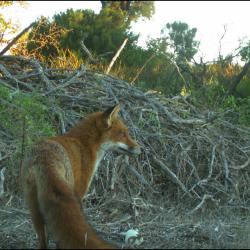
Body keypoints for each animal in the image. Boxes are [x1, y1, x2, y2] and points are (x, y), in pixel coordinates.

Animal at [21, 104, 141, 249]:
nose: (140, 149)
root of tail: (44, 160)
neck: (85, 144)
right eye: (122, 134)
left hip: (34, 209)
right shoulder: (79, 191)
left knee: (44, 240)